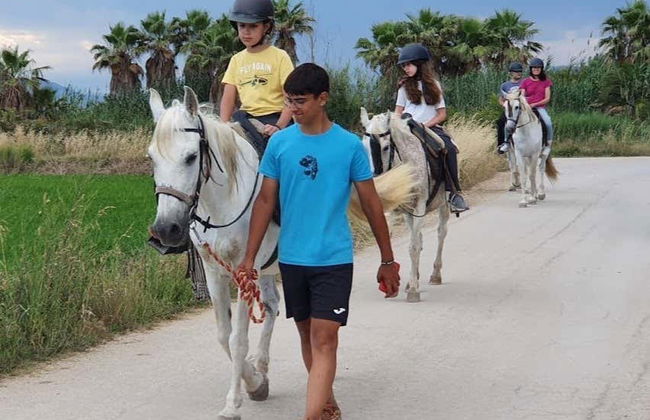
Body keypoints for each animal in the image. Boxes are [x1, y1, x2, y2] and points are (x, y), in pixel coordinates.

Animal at [148, 87, 280, 420]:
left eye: (191, 157)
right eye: (151, 157)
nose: (166, 230)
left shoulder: (245, 269)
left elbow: (238, 339)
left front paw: (233, 403)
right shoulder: (213, 272)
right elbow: (223, 335)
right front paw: (255, 382)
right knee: (272, 306)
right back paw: (262, 366)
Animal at [360, 107, 450, 303]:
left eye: (386, 147)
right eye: (363, 147)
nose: (376, 183)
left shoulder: (420, 207)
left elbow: (413, 247)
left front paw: (414, 291)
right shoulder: (399, 211)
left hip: (443, 205)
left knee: (441, 233)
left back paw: (435, 275)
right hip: (409, 213)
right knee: (420, 238)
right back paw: (412, 278)